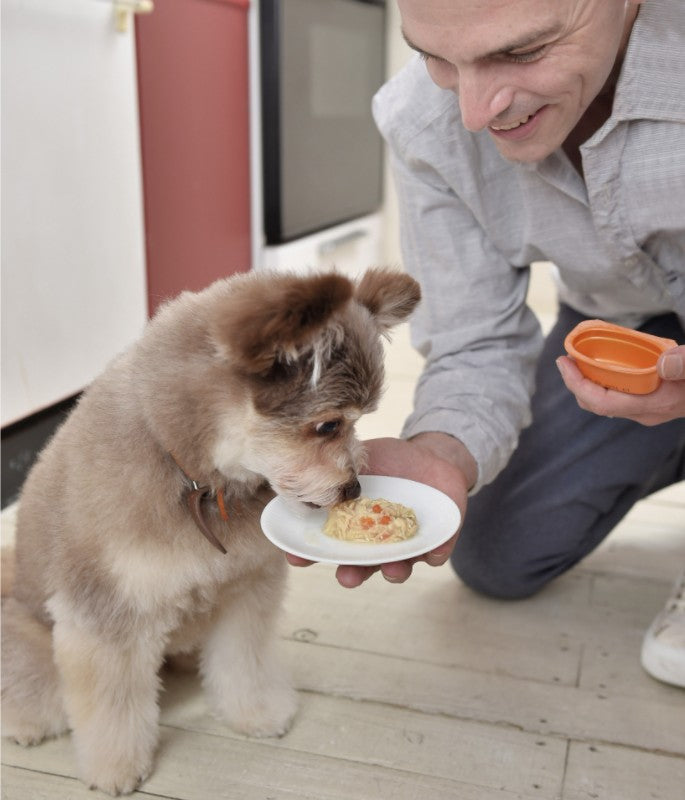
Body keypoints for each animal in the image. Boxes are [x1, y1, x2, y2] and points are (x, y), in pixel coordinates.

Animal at [1, 268, 422, 792]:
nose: (353, 487)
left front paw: (256, 713)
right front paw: (115, 768)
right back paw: (27, 720)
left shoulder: (244, 590)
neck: (199, 485)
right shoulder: (106, 616)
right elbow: (112, 707)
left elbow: (243, 664)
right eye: (327, 426)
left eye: (357, 422)